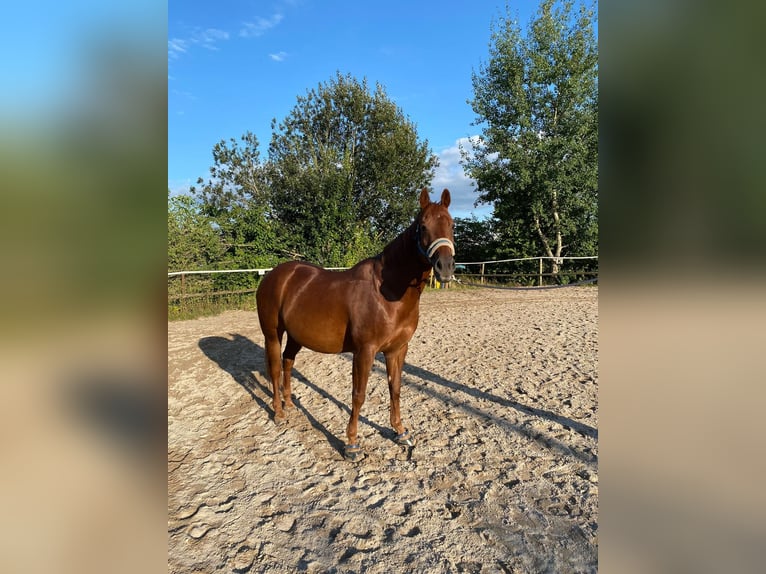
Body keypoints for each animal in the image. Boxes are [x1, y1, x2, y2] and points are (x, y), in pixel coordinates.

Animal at [258, 189, 456, 464]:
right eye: (423, 226)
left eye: (452, 225)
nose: (445, 267)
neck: (387, 292)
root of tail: (273, 275)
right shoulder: (365, 351)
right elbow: (358, 394)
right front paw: (351, 444)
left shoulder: (397, 349)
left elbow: (395, 388)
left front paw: (400, 431)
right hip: (272, 334)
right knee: (275, 369)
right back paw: (278, 412)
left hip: (297, 336)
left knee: (288, 362)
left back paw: (290, 403)